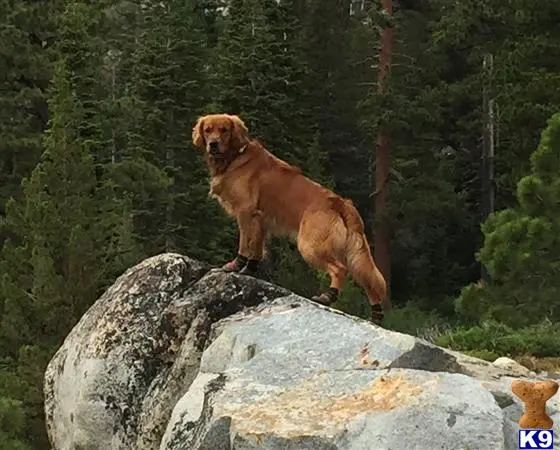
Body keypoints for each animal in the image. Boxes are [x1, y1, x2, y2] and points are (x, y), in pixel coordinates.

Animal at [190, 112, 388, 324]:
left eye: (224, 130)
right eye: (207, 130)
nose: (213, 144)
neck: (234, 156)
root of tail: (340, 203)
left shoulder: (245, 212)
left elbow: (244, 244)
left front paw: (235, 265)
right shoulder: (260, 221)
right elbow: (257, 250)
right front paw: (249, 270)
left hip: (310, 245)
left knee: (340, 269)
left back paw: (327, 296)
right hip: (353, 251)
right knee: (367, 280)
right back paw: (376, 315)